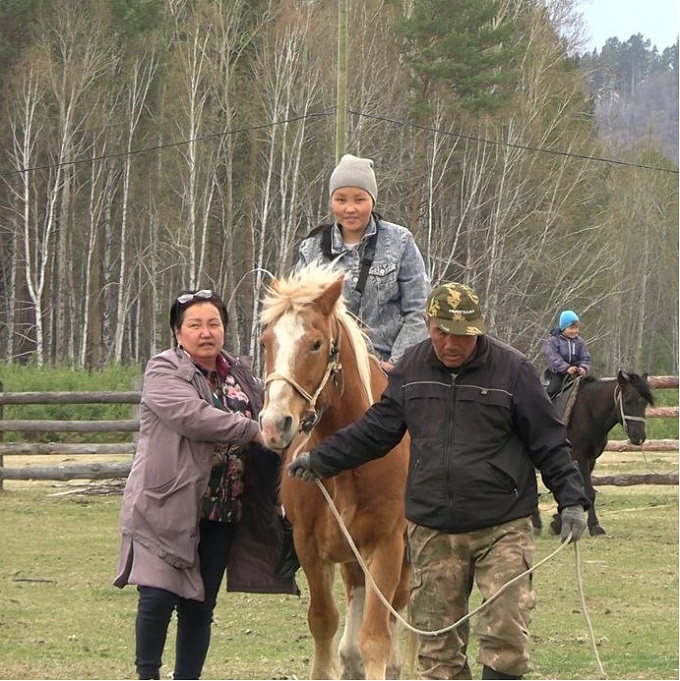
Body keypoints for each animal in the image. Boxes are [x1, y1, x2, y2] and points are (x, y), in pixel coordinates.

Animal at [258, 264, 410, 680]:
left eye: (315, 344)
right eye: (265, 342)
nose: (274, 424)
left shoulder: (388, 545)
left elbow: (376, 637)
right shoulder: (309, 546)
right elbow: (323, 621)